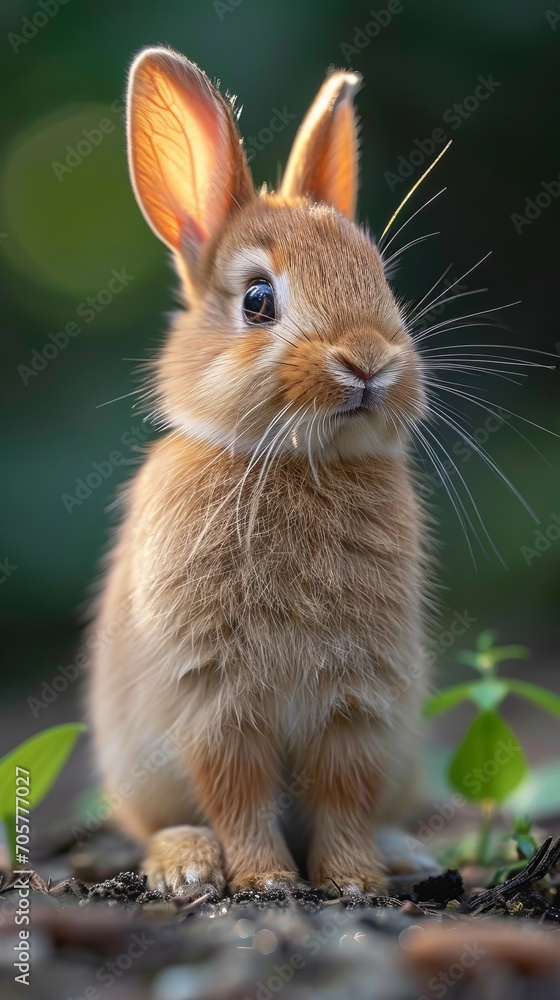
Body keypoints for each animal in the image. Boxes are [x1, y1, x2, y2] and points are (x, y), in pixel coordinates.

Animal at [89, 45, 432, 900]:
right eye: (257, 300)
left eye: (380, 277)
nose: (369, 360)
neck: (295, 461)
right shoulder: (215, 699)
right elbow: (237, 793)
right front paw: (267, 881)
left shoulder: (358, 702)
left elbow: (344, 796)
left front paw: (353, 883)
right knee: (159, 822)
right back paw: (183, 866)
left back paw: (406, 856)